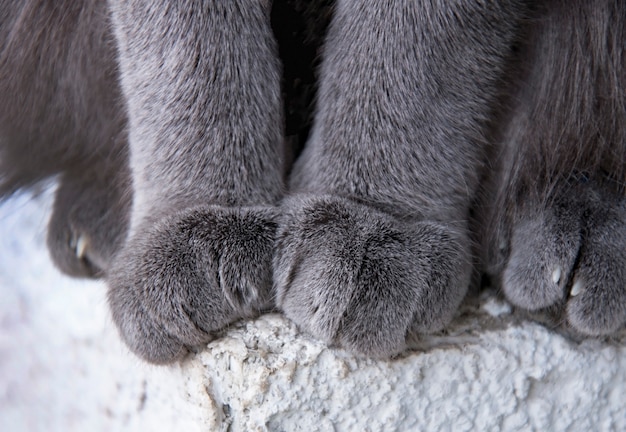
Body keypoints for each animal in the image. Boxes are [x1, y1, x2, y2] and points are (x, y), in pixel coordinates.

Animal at [0, 0, 620, 364]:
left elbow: (413, 36)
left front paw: (372, 216)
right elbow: (187, 42)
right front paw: (197, 218)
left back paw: (580, 234)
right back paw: (97, 221)